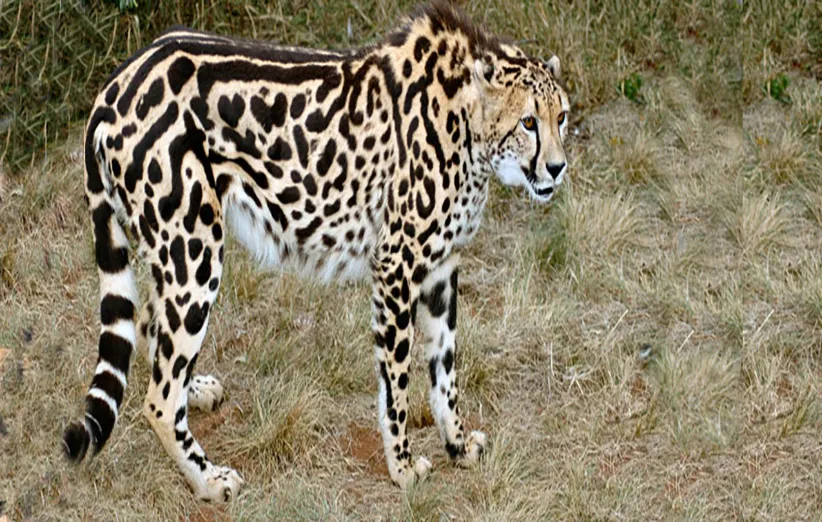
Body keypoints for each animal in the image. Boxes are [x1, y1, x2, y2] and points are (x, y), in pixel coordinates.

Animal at [62, 0, 569, 502]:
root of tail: (116, 84)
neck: (465, 119)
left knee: (150, 323)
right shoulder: (396, 265)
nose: (557, 167)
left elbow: (445, 371)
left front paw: (458, 445)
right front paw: (403, 467)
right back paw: (208, 479)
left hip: (172, 250)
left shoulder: (442, 266)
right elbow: (398, 382)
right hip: (195, 250)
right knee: (159, 399)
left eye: (560, 116)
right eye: (528, 122)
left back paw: (196, 390)